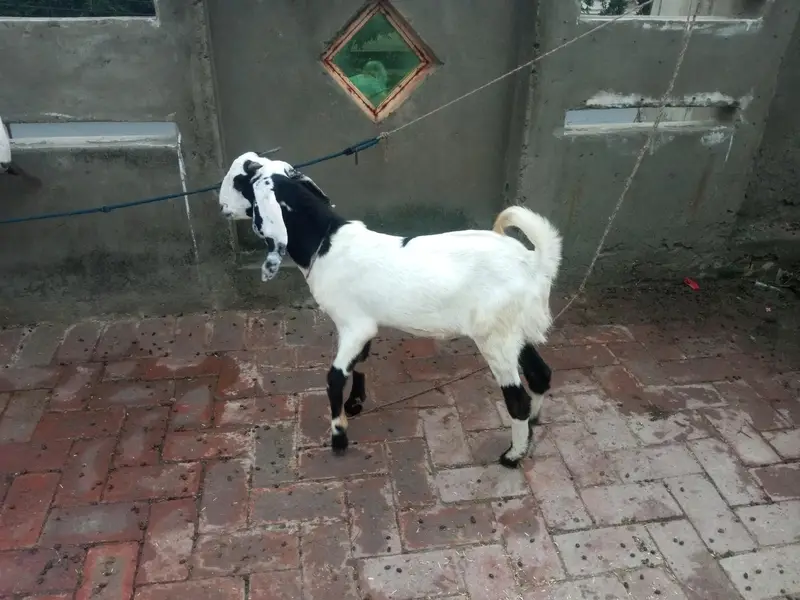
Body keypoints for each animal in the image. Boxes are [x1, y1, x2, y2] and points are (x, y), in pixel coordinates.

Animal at [218, 151, 563, 468]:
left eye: (240, 180)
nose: (220, 205)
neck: (326, 242)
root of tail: (534, 263)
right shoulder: (364, 324)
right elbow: (359, 362)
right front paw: (355, 403)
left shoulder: (352, 324)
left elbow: (334, 377)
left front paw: (339, 436)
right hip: (515, 330)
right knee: (540, 374)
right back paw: (532, 428)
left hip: (495, 337)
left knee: (516, 398)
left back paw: (513, 455)